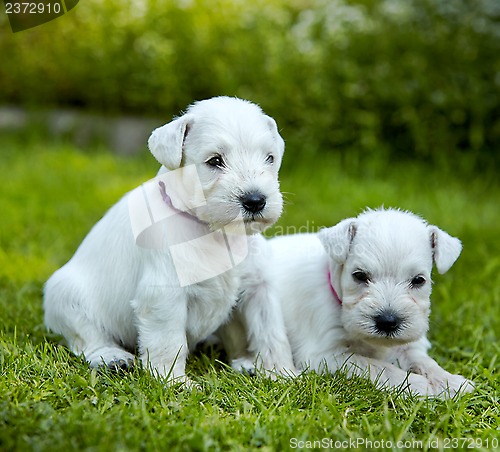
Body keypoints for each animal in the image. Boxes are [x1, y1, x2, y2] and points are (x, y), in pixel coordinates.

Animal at [45, 96, 294, 384]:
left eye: (269, 158)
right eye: (215, 161)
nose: (255, 200)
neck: (215, 231)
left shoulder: (258, 289)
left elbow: (271, 333)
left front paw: (282, 373)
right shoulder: (164, 294)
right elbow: (169, 342)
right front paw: (173, 382)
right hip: (65, 296)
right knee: (86, 337)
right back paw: (112, 357)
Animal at [272, 207, 474, 398]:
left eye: (418, 280)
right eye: (359, 275)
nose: (388, 321)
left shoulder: (407, 344)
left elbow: (423, 360)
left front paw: (450, 382)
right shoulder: (325, 355)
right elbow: (377, 366)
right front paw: (415, 384)